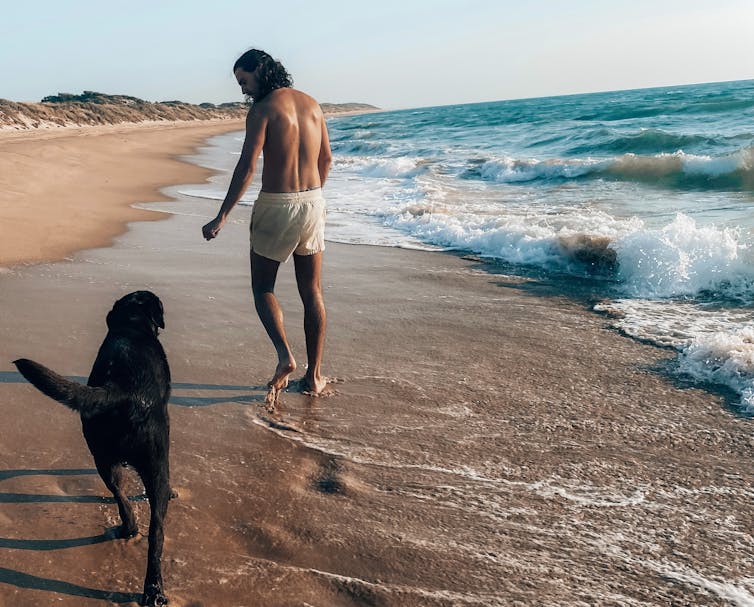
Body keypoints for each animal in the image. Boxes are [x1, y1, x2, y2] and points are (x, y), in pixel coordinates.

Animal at [14, 292, 172, 604]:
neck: (131, 324)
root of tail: (120, 389)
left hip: (102, 457)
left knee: (119, 494)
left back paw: (128, 529)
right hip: (156, 463)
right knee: (156, 531)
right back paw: (154, 588)